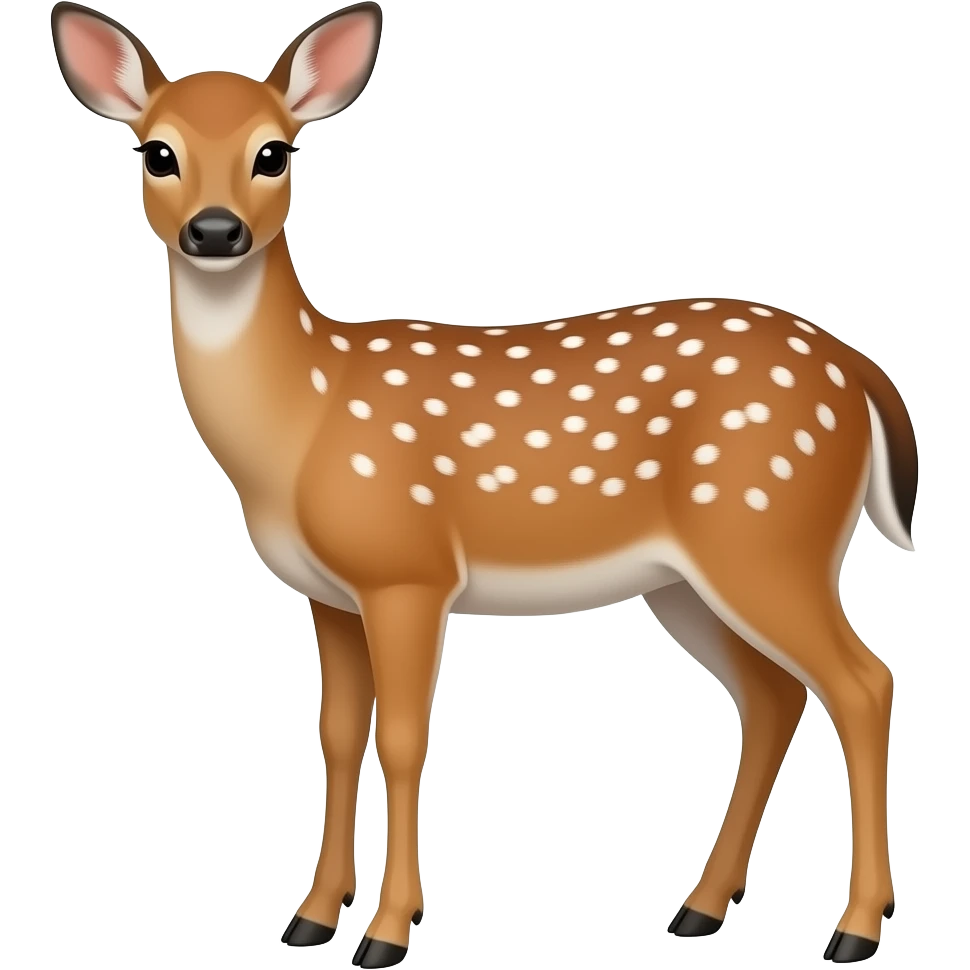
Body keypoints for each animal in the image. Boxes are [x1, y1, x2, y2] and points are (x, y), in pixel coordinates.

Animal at [50, 2, 916, 965]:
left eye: (274, 151)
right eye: (156, 151)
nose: (212, 230)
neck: (302, 420)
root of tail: (857, 370)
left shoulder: (408, 569)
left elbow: (401, 739)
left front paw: (386, 933)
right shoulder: (329, 594)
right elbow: (337, 735)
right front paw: (310, 919)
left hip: (768, 532)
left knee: (862, 684)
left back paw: (855, 929)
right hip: (688, 579)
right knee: (773, 696)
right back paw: (700, 908)